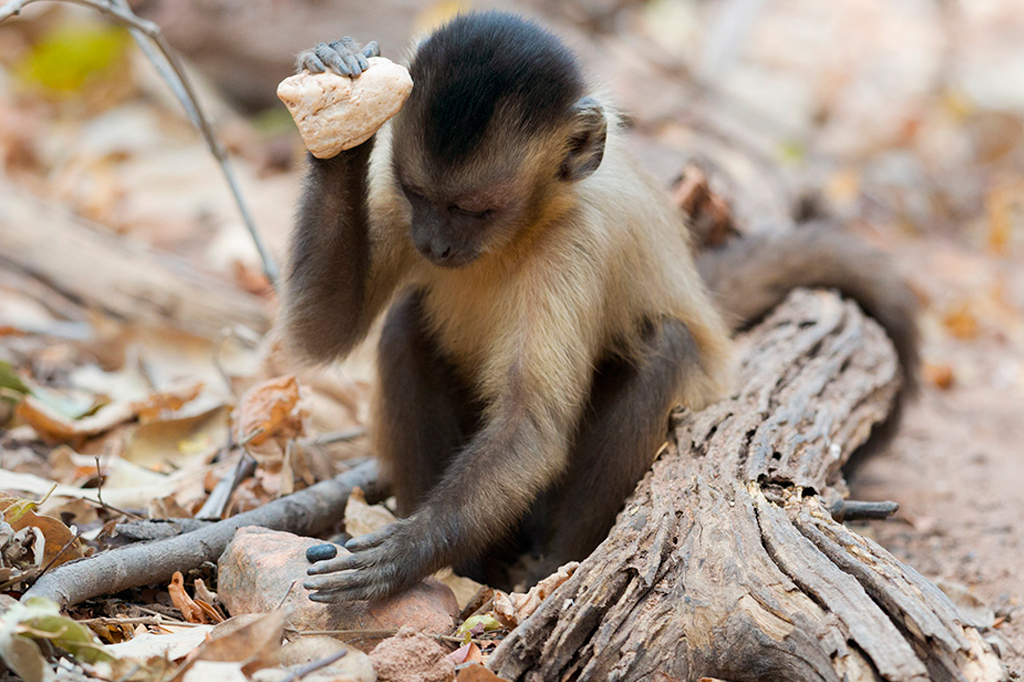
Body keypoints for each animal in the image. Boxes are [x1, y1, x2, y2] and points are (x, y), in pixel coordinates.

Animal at [282, 12, 919, 602]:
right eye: (420, 196)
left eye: (475, 211)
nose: (433, 244)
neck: (527, 226)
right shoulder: (396, 205)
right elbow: (323, 331)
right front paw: (339, 103)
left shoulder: (576, 243)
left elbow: (532, 427)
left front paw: (406, 552)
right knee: (405, 325)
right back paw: (473, 569)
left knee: (666, 345)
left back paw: (549, 567)